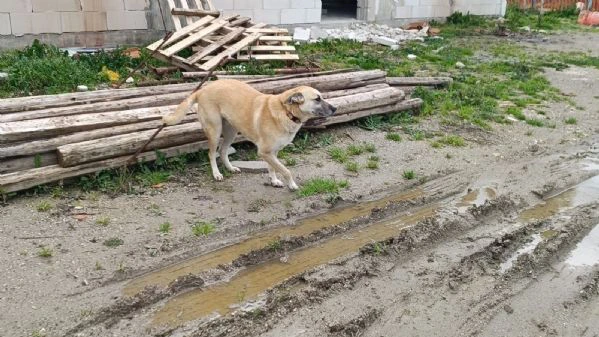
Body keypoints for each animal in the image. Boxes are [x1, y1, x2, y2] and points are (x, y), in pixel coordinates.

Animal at [162, 78, 336, 189]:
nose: (335, 109)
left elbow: (273, 168)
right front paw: (292, 184)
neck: (286, 112)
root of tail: (202, 90)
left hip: (231, 131)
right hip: (215, 130)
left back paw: (231, 168)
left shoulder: (272, 152)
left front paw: (274, 181)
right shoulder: (264, 152)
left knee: (223, 151)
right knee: (211, 153)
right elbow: (285, 169)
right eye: (317, 99)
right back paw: (217, 174)